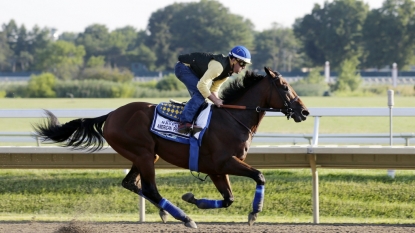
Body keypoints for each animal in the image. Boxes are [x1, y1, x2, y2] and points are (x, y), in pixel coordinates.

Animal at [34, 66, 310, 228]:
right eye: (285, 87)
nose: (304, 112)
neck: (233, 118)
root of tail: (111, 114)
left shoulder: (216, 170)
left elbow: (228, 199)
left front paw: (193, 198)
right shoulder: (225, 162)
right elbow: (259, 175)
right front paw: (255, 212)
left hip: (146, 155)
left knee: (131, 183)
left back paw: (169, 212)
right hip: (144, 154)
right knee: (149, 188)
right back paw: (184, 218)